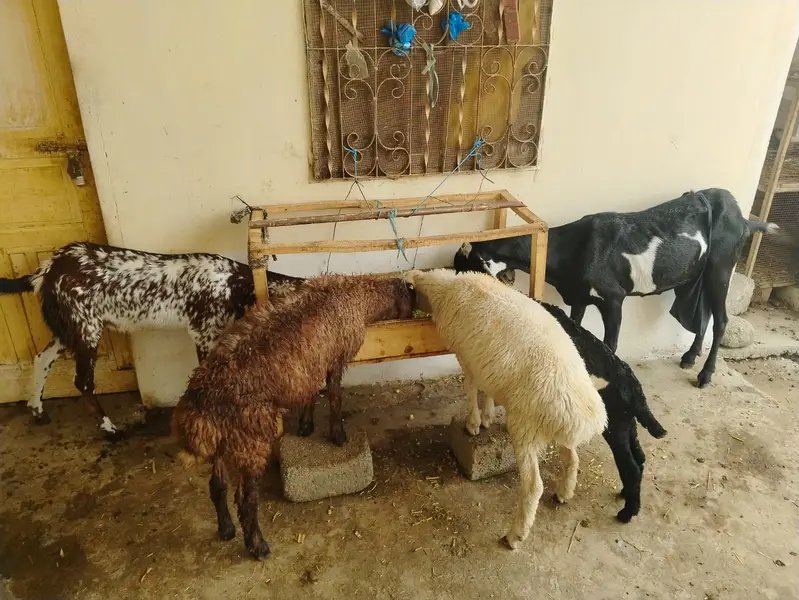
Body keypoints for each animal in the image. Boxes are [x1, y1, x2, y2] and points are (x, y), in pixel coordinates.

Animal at [0, 241, 303, 437]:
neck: (234, 285)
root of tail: (46, 271)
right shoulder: (203, 332)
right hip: (86, 328)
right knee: (83, 381)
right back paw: (109, 427)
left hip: (66, 329)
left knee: (41, 359)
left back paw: (38, 409)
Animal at [171, 274, 414, 559]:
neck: (358, 297)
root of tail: (199, 404)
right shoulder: (335, 356)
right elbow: (334, 397)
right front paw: (338, 435)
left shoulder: (312, 364)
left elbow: (311, 393)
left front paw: (306, 426)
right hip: (251, 438)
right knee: (245, 500)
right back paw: (257, 546)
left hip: (226, 438)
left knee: (217, 486)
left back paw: (226, 529)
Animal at [404, 269, 607, 549]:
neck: (447, 289)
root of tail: (585, 416)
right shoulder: (485, 361)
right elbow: (486, 388)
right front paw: (487, 417)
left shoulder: (466, 358)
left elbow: (470, 387)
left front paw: (473, 423)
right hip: (552, 429)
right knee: (572, 459)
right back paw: (565, 492)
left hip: (525, 427)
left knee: (533, 486)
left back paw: (515, 535)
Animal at [454, 188, 779, 387]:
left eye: (464, 265)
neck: (574, 248)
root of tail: (743, 219)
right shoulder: (579, 296)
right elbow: (574, 330)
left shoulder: (612, 298)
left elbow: (610, 342)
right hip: (697, 277)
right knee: (705, 314)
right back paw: (689, 358)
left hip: (720, 268)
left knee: (721, 320)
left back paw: (705, 375)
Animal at [540, 302, 667, 522]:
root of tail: (634, 389)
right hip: (627, 424)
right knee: (639, 457)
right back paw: (626, 494)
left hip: (614, 427)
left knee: (631, 467)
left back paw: (628, 513)